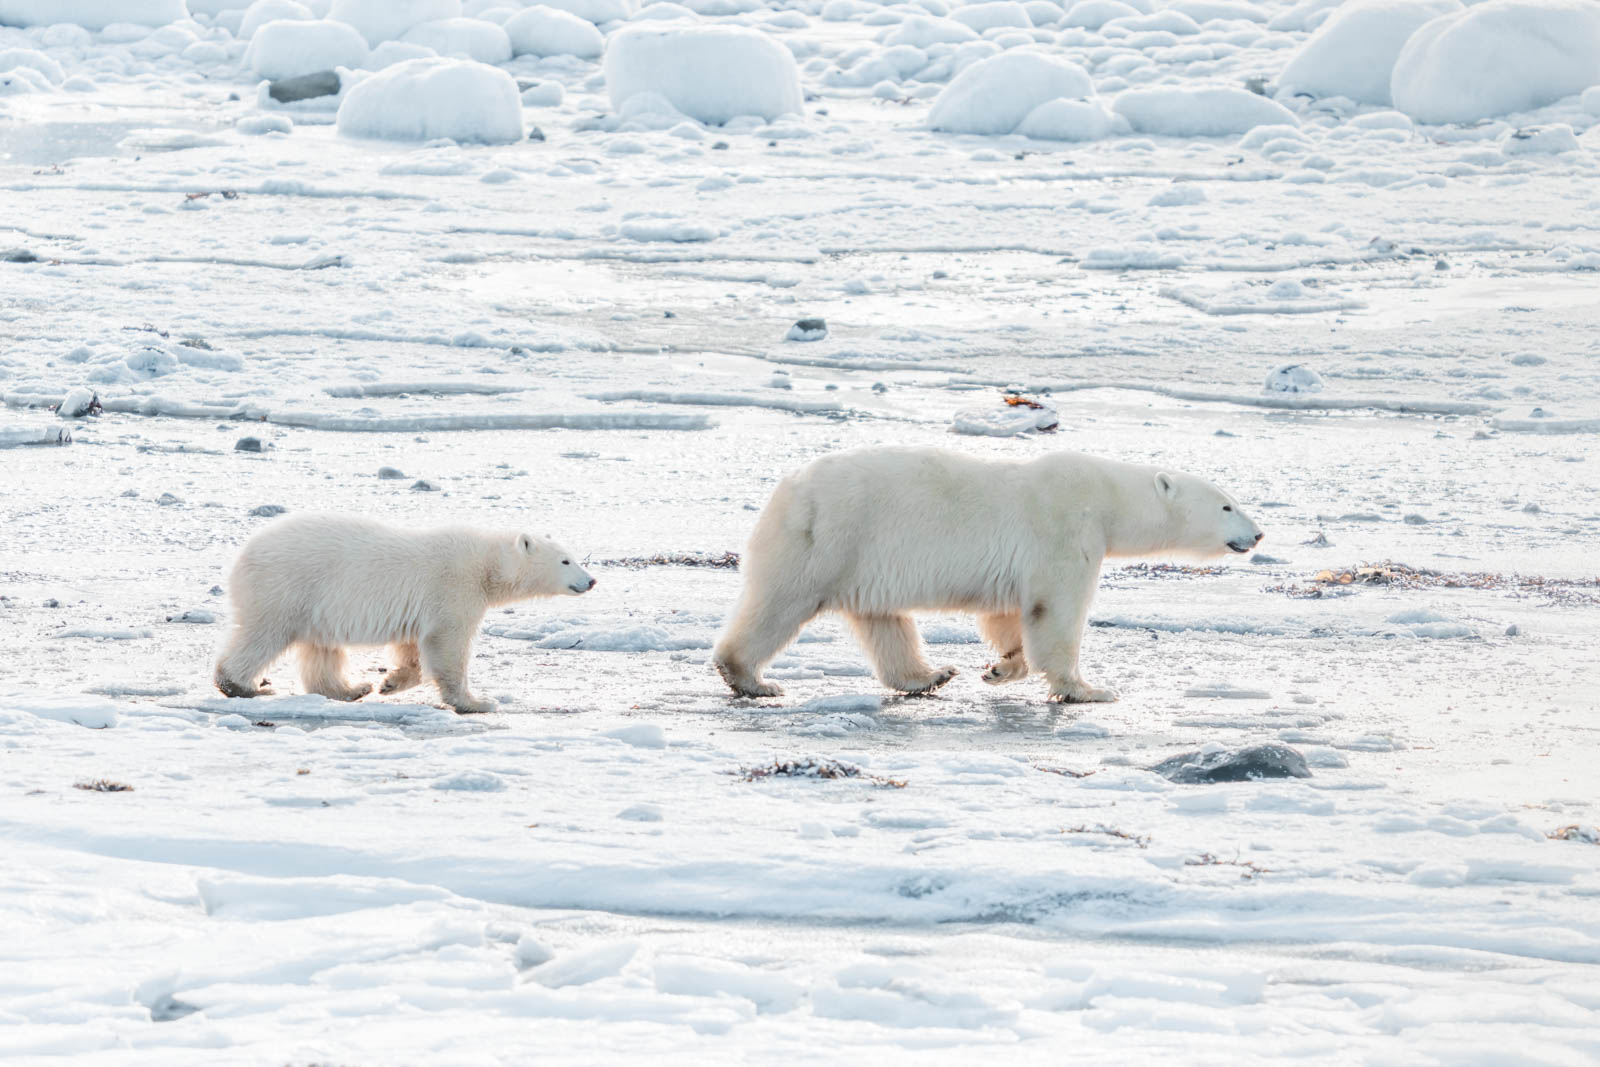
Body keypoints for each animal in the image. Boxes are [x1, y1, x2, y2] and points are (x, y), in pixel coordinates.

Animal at [209, 511, 592, 713]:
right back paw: (242, 685)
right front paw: (478, 701)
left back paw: (353, 688)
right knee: (264, 635)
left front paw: (390, 683)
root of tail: (243, 556)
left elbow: (413, 650)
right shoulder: (453, 589)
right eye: (566, 560)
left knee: (321, 650)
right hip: (286, 588)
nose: (591, 580)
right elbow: (448, 645)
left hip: (313, 605)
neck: (486, 565)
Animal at [713, 447, 1260, 703]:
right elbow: (1055, 610)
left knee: (884, 621)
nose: (1257, 534)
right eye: (1227, 505)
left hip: (862, 557)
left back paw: (929, 675)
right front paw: (1088, 689)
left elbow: (1008, 613)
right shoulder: (1063, 527)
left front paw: (1001, 668)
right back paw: (752, 679)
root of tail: (788, 489)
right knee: (780, 604)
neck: (1107, 499)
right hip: (828, 539)